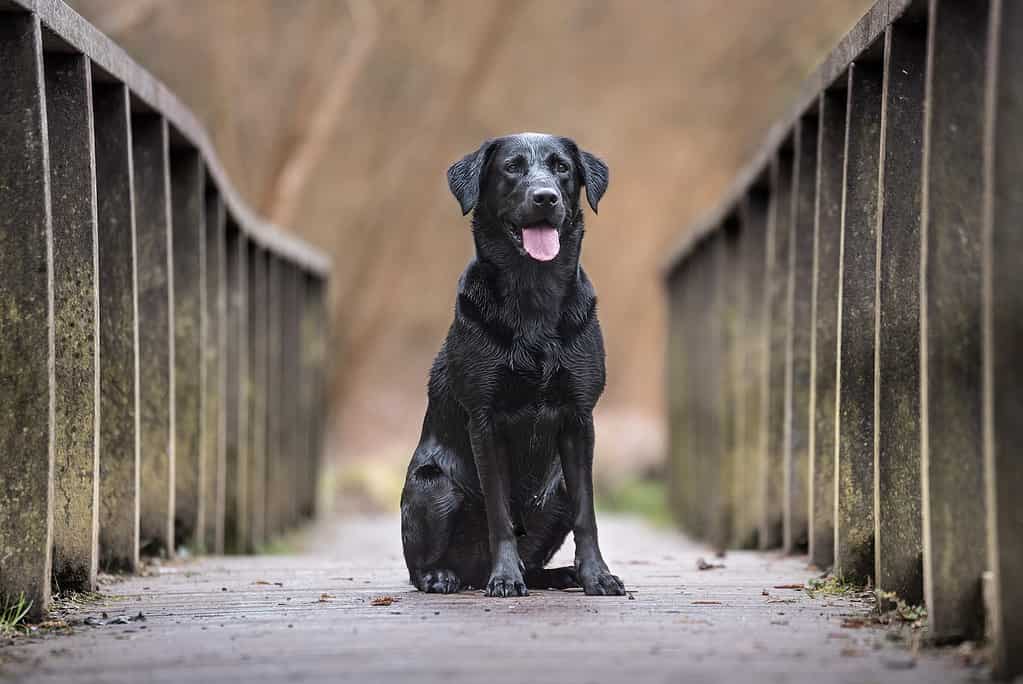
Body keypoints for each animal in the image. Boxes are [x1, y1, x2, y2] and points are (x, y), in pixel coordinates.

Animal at [398, 130, 621, 593]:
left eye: (561, 168)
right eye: (512, 168)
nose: (545, 197)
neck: (533, 293)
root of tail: (470, 573)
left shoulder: (579, 419)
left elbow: (587, 514)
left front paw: (597, 575)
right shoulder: (485, 420)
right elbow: (499, 513)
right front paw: (504, 578)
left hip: (556, 489)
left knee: (537, 556)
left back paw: (560, 574)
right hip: (433, 484)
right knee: (419, 567)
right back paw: (444, 576)